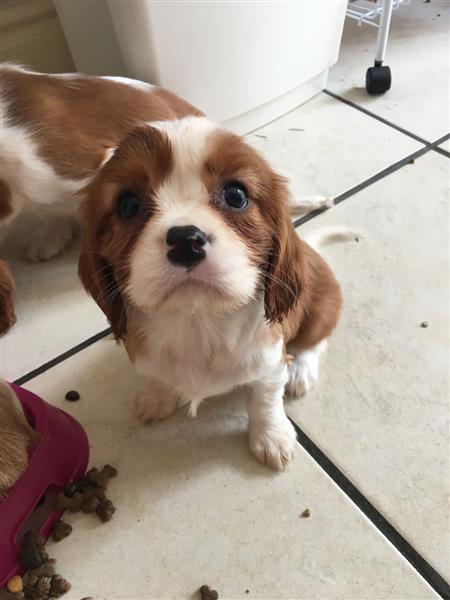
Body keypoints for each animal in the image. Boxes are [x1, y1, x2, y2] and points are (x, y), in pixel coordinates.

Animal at [77, 117, 346, 472]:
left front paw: (271, 437)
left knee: (316, 341)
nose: (185, 240)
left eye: (235, 195)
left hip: (321, 307)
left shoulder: (271, 361)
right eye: (128, 205)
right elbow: (156, 375)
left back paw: (301, 372)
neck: (197, 320)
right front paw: (156, 396)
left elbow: (264, 398)